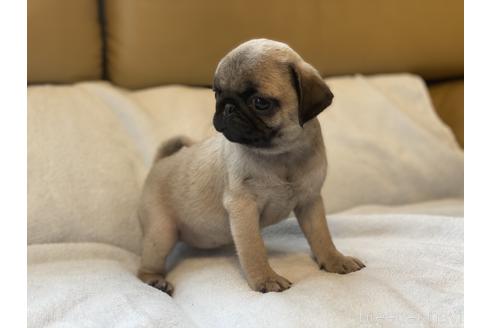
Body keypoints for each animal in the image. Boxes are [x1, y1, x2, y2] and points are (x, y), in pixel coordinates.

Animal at [136, 37, 364, 294]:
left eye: (260, 102)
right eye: (217, 93)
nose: (227, 106)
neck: (282, 154)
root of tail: (160, 162)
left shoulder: (310, 201)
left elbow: (322, 236)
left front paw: (335, 260)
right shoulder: (243, 208)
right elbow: (253, 249)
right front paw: (265, 278)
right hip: (161, 231)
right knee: (145, 266)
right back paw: (155, 280)